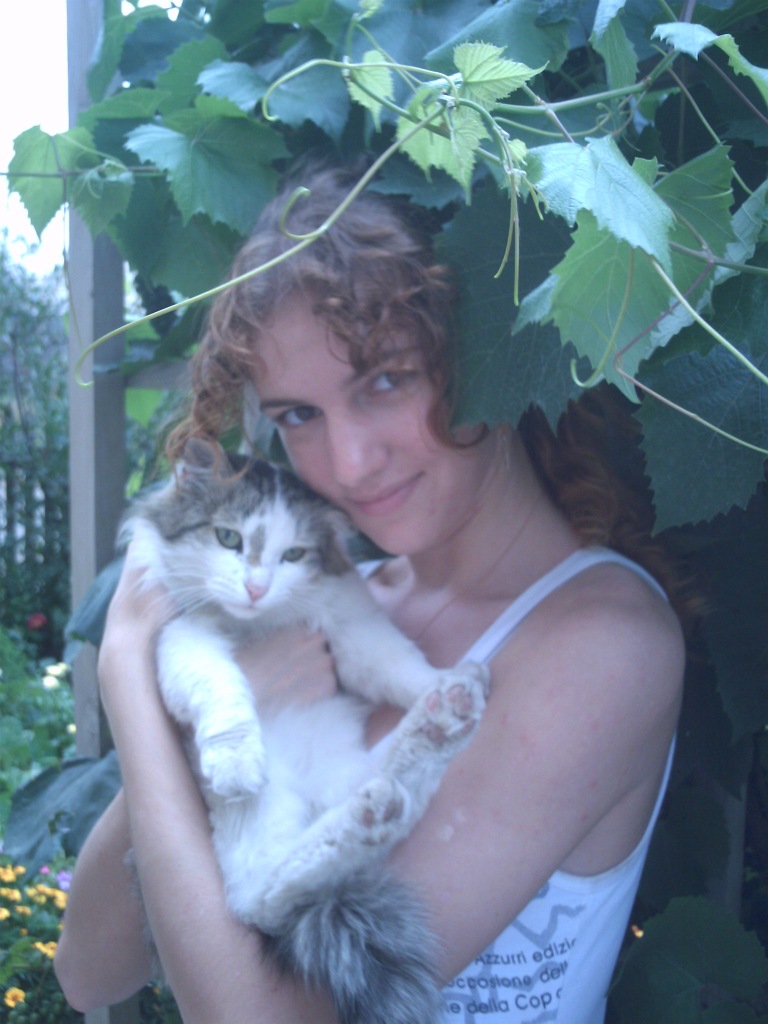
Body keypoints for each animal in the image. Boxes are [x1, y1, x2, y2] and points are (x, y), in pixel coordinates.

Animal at [121, 437, 489, 1024]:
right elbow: (221, 687)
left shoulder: (349, 625)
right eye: (228, 538)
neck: (255, 623)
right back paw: (372, 812)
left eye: (293, 556)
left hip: (347, 778)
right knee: (265, 898)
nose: (255, 588)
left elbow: (397, 664)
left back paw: (439, 723)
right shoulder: (182, 637)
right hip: (253, 831)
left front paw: (448, 679)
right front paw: (237, 762)